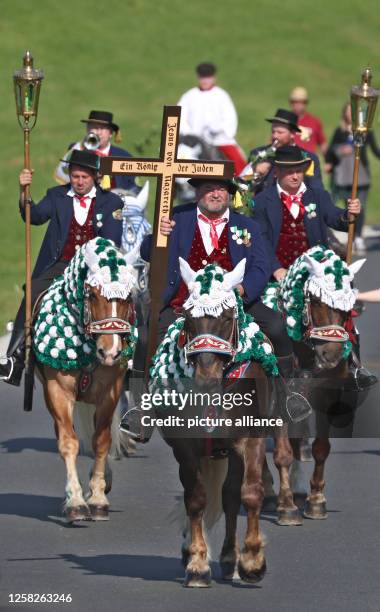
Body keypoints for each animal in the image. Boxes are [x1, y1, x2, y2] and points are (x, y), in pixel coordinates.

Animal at [33, 238, 138, 520]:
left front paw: (99, 497)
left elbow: (101, 441)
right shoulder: (58, 392)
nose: (111, 352)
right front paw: (76, 502)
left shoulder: (109, 393)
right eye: (92, 294)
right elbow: (69, 443)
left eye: (128, 297)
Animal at [262, 245, 366, 520]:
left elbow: (320, 448)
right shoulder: (280, 402)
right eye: (317, 301)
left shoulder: (326, 397)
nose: (331, 355)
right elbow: (282, 453)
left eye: (349, 305)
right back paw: (269, 491)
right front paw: (287, 506)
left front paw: (316, 500)